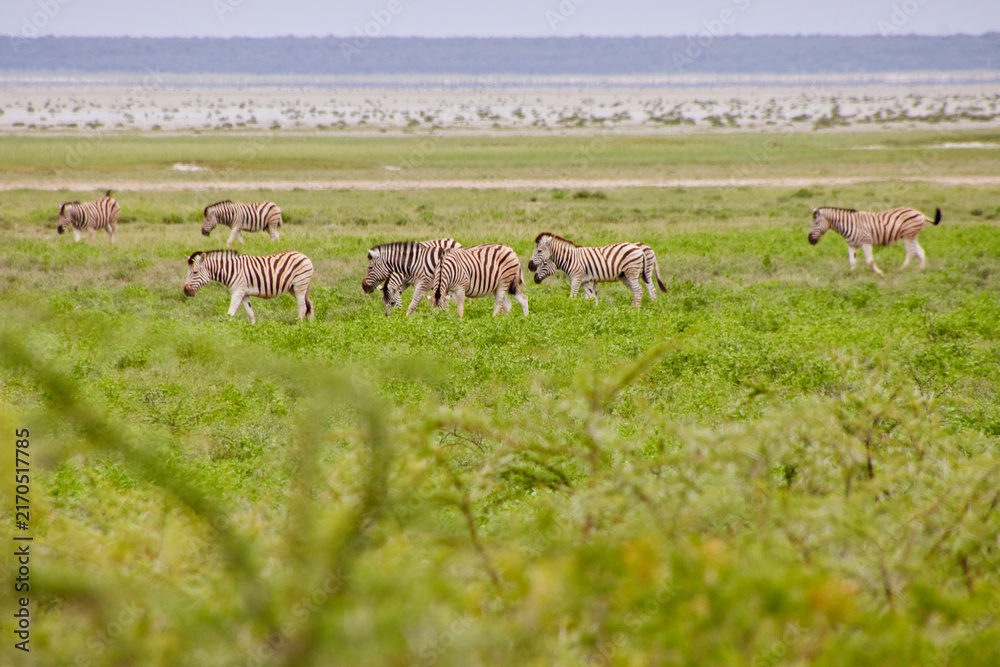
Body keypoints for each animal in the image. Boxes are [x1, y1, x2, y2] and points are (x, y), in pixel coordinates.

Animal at [183, 250, 314, 324]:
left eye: (195, 272)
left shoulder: (238, 292)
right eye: (188, 272)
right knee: (310, 304)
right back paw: (312, 326)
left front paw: (224, 330)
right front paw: (253, 329)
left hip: (299, 285)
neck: (230, 270)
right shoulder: (244, 294)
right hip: (293, 288)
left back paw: (299, 327)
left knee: (303, 307)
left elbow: (230, 313)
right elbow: (251, 315)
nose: (185, 290)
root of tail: (304, 256)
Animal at [809, 206, 942, 275]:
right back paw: (921, 270)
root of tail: (919, 213)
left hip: (908, 235)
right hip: (911, 236)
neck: (847, 225)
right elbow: (852, 261)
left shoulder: (865, 242)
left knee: (911, 253)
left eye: (816, 223)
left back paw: (901, 269)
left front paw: (879, 272)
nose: (809, 240)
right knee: (920, 252)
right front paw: (851, 274)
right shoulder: (851, 245)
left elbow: (869, 261)